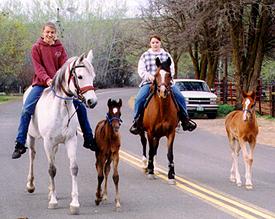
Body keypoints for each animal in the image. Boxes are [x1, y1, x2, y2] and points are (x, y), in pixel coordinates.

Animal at [24, 49, 97, 214]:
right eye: (80, 76)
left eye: (93, 76)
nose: (92, 102)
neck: (61, 108)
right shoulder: (48, 141)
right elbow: (51, 170)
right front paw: (53, 201)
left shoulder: (70, 140)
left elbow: (73, 168)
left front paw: (74, 204)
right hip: (31, 138)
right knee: (32, 155)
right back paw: (31, 185)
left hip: (55, 145)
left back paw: (51, 190)